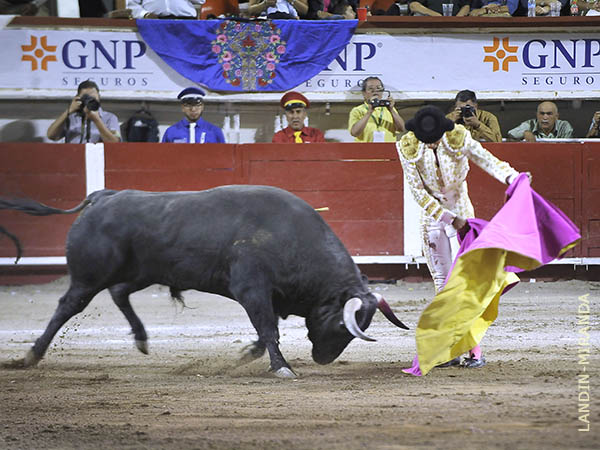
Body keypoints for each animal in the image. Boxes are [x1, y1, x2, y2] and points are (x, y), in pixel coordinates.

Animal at [0, 185, 408, 378]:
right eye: (342, 325)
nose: (322, 359)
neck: (292, 237)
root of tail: (103, 197)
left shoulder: (267, 295)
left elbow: (265, 330)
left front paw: (250, 354)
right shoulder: (252, 289)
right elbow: (268, 328)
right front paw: (281, 367)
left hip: (144, 271)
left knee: (119, 293)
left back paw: (142, 340)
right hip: (89, 276)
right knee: (69, 306)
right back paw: (31, 355)